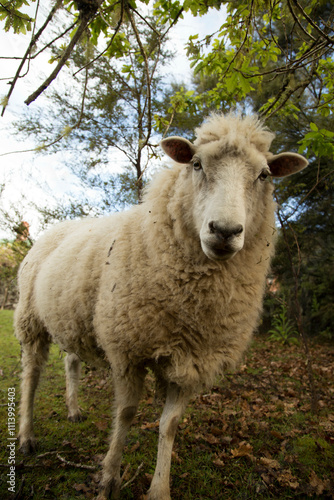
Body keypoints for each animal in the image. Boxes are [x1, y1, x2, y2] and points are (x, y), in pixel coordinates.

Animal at [15, 113, 308, 500]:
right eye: (196, 164)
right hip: (30, 319)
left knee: (71, 362)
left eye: (264, 175)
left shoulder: (193, 359)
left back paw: (74, 410)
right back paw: (26, 436)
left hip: (75, 317)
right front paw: (109, 478)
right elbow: (126, 413)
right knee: (31, 376)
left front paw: (159, 487)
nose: (225, 231)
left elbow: (169, 425)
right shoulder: (127, 349)